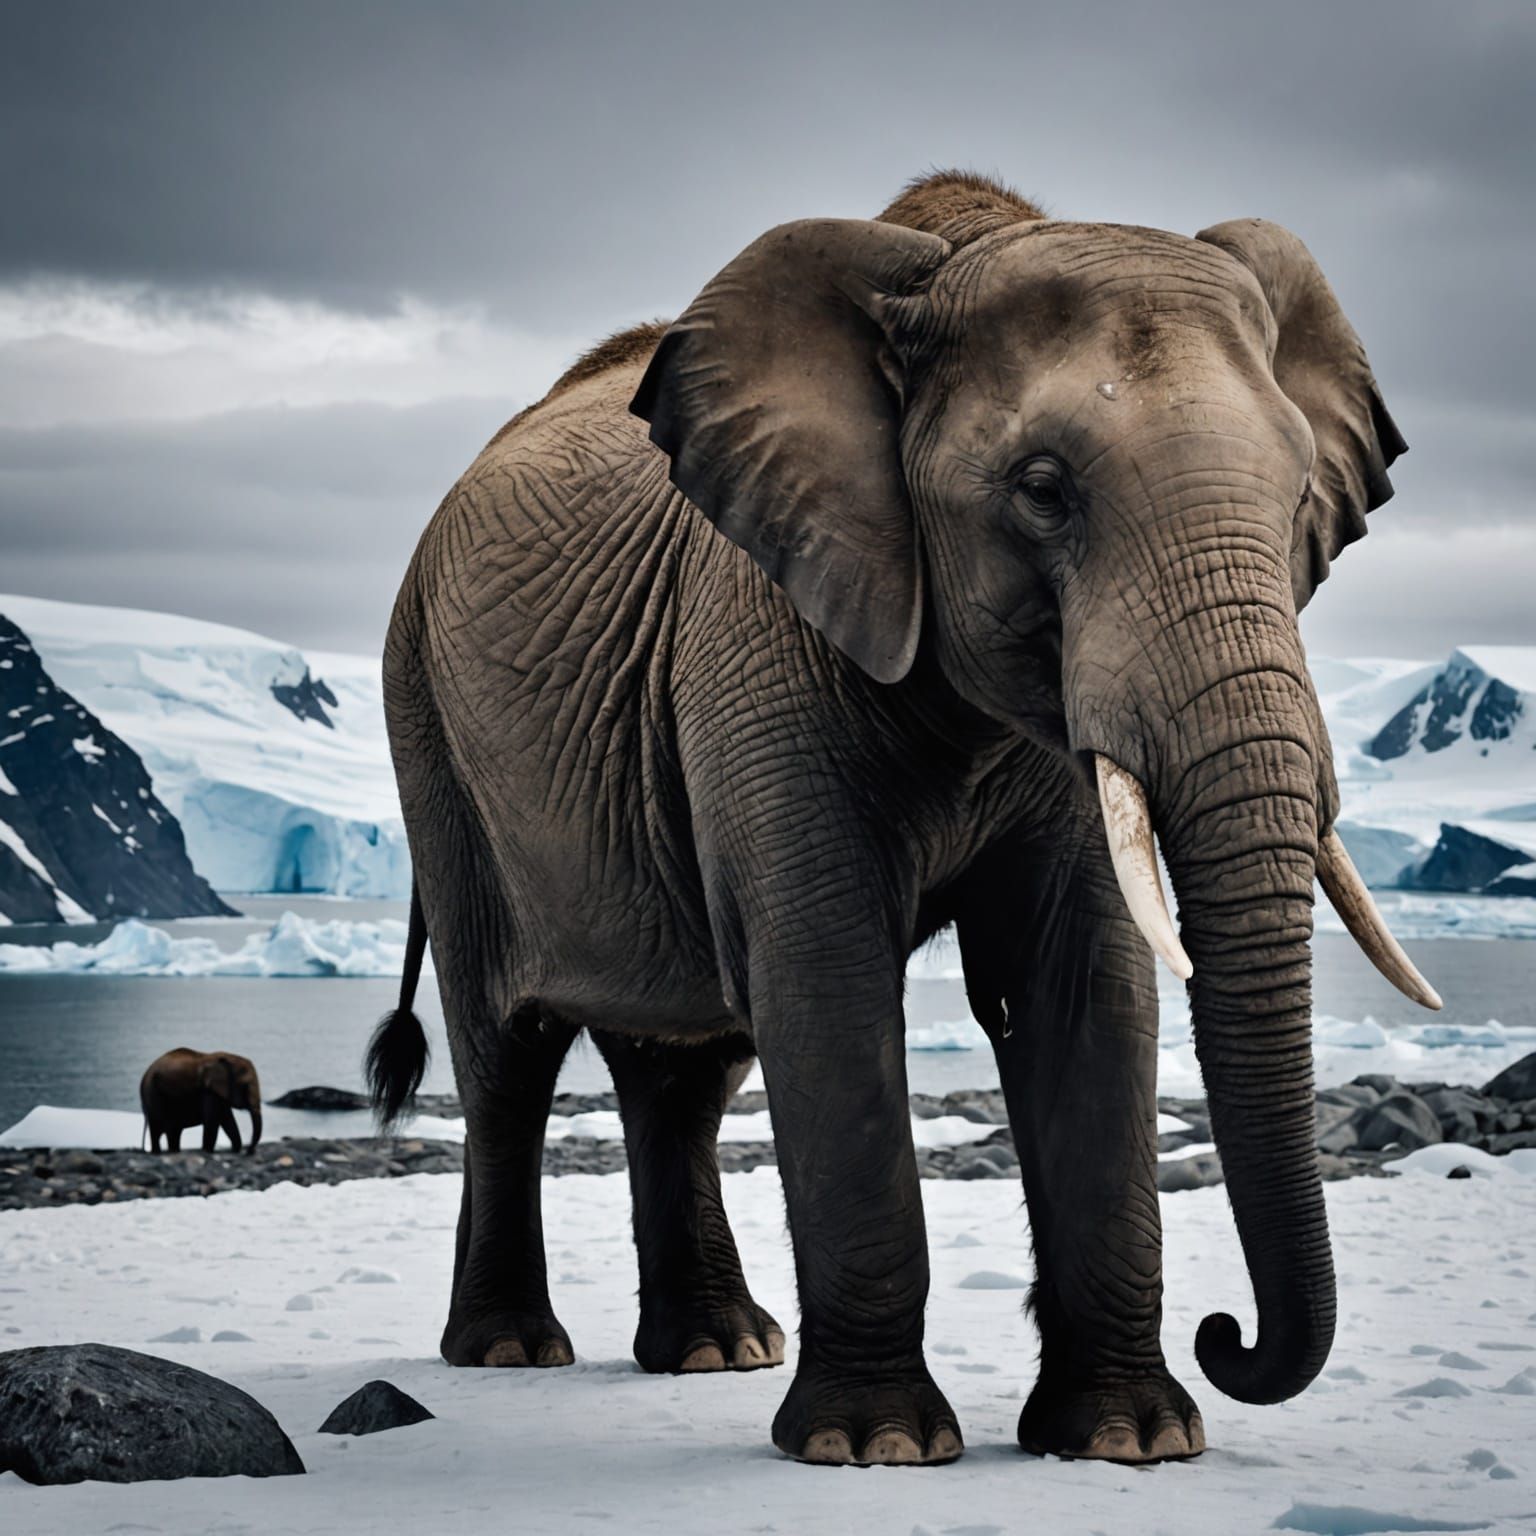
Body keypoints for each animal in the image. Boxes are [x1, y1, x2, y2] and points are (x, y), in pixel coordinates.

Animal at [367, 169, 1441, 1467]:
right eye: (1042, 491)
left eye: (1299, 501)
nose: (1228, 1335)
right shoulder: (761, 641)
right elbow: (826, 976)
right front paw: (873, 1449)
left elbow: (1081, 985)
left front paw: (1129, 1441)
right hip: (430, 727)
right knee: (505, 1052)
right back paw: (513, 1351)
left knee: (679, 1067)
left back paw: (717, 1350)